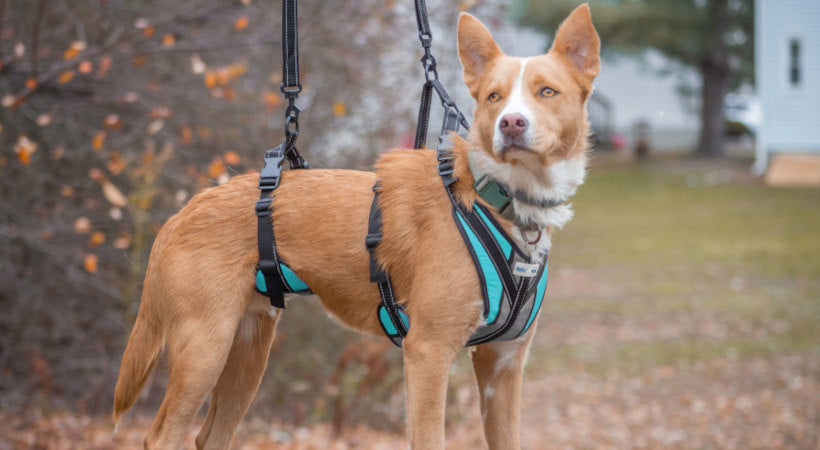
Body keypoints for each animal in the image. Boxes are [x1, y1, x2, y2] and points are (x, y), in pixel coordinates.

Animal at [112, 5, 600, 448]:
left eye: (548, 92)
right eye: (494, 98)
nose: (511, 124)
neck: (494, 198)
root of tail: (182, 213)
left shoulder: (503, 365)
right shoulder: (428, 353)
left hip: (248, 351)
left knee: (209, 437)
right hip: (204, 348)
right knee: (161, 437)